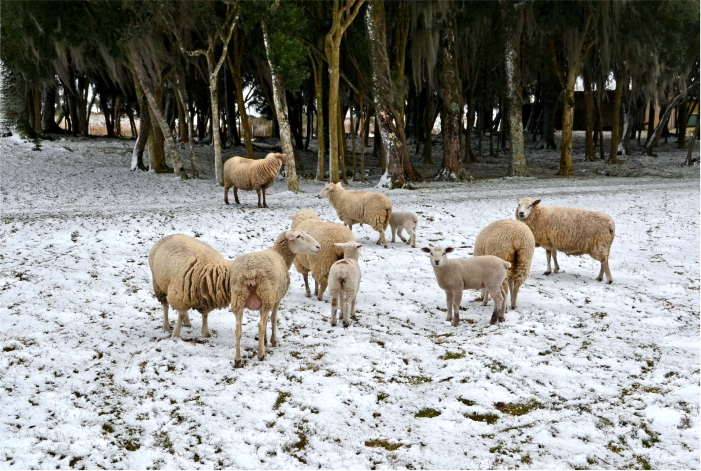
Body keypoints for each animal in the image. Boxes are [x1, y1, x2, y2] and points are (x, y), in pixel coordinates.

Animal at [227, 230, 320, 366]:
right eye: (298, 236)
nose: (319, 247)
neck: (280, 254)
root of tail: (250, 271)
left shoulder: (263, 302)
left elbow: (265, 321)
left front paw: (264, 341)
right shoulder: (276, 298)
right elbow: (273, 318)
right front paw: (273, 341)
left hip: (239, 298)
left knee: (238, 329)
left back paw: (238, 359)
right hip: (266, 294)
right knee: (260, 325)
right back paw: (261, 355)